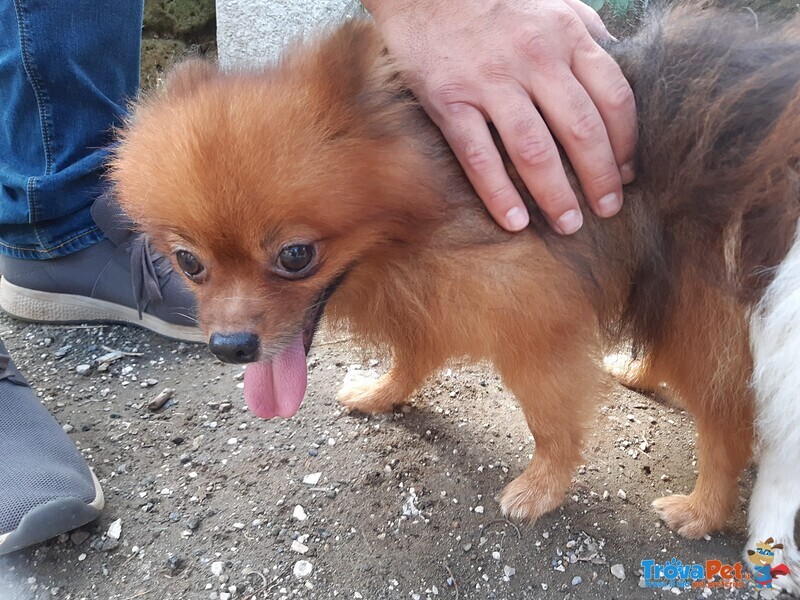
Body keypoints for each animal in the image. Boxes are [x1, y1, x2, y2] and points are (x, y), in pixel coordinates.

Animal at [111, 3, 800, 592]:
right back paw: (639, 371)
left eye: (295, 255)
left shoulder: (530, 313)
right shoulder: (426, 302)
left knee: (728, 420)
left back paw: (702, 508)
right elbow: (411, 356)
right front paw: (381, 392)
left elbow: (551, 421)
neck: (420, 210)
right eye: (189, 262)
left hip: (705, 306)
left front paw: (541, 488)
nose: (230, 347)